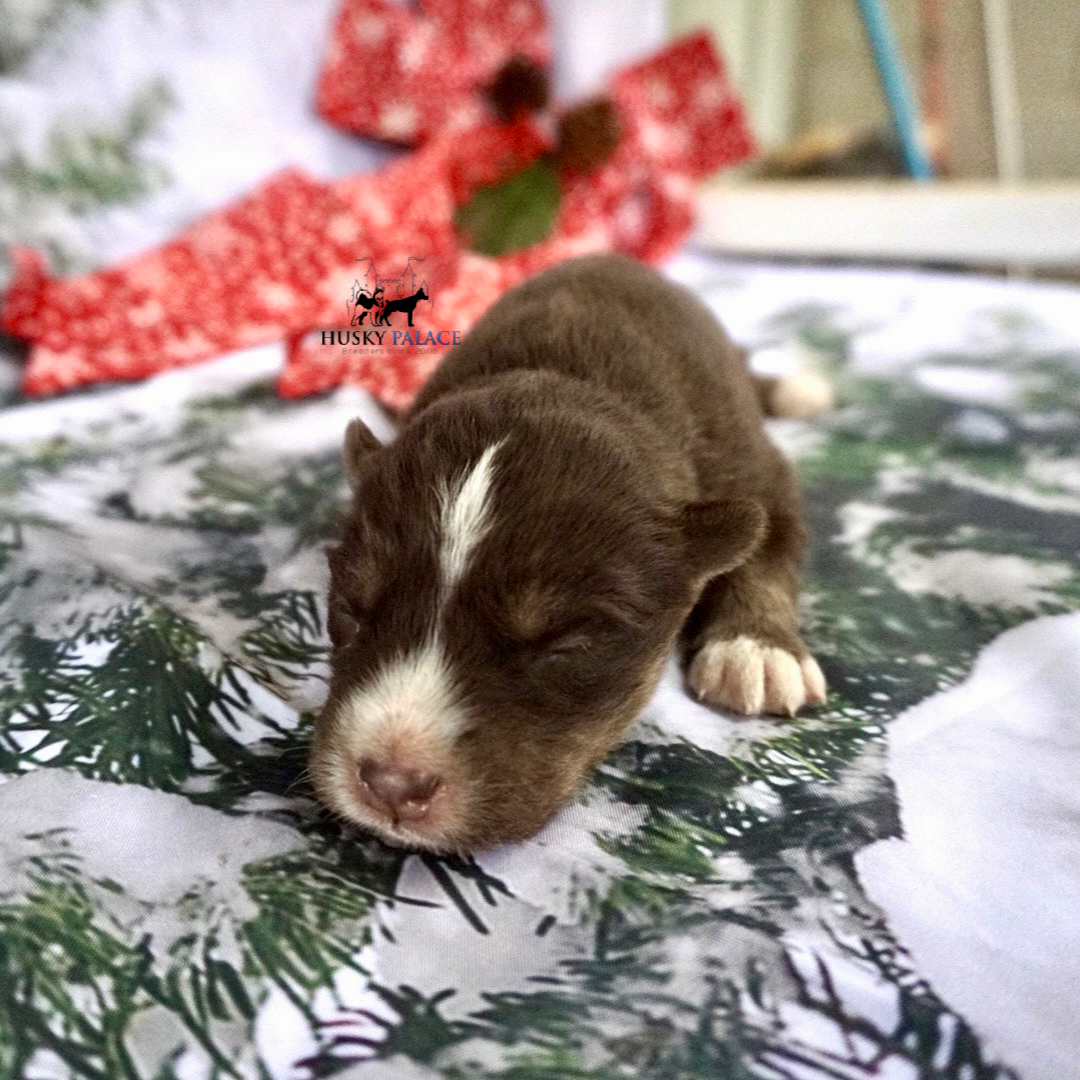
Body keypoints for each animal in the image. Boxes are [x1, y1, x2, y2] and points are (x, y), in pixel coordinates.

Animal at [311, 254, 825, 851]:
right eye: (349, 610)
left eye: (569, 644)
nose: (392, 783)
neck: (566, 373)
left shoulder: (752, 465)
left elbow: (768, 537)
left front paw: (758, 650)